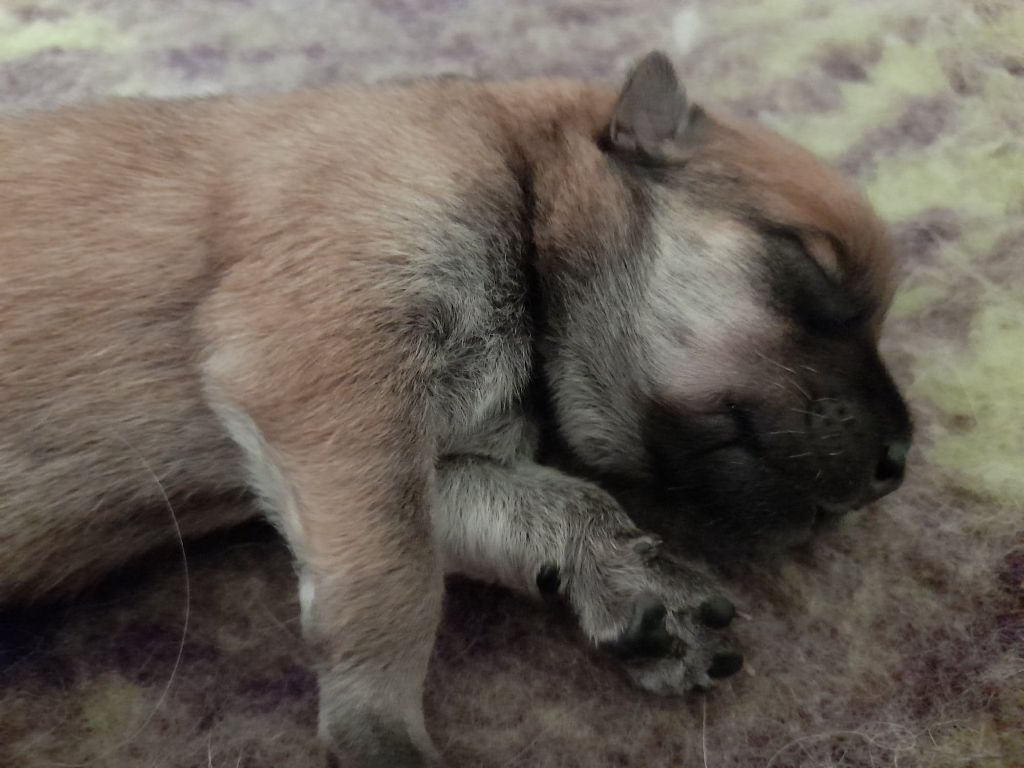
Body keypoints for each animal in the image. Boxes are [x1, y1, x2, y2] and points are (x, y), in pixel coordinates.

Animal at [0, 51, 912, 766]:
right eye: (807, 267)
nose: (899, 463)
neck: (523, 179)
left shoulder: (390, 464)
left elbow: (552, 502)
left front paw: (639, 586)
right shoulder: (328, 370)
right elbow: (394, 585)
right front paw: (381, 729)